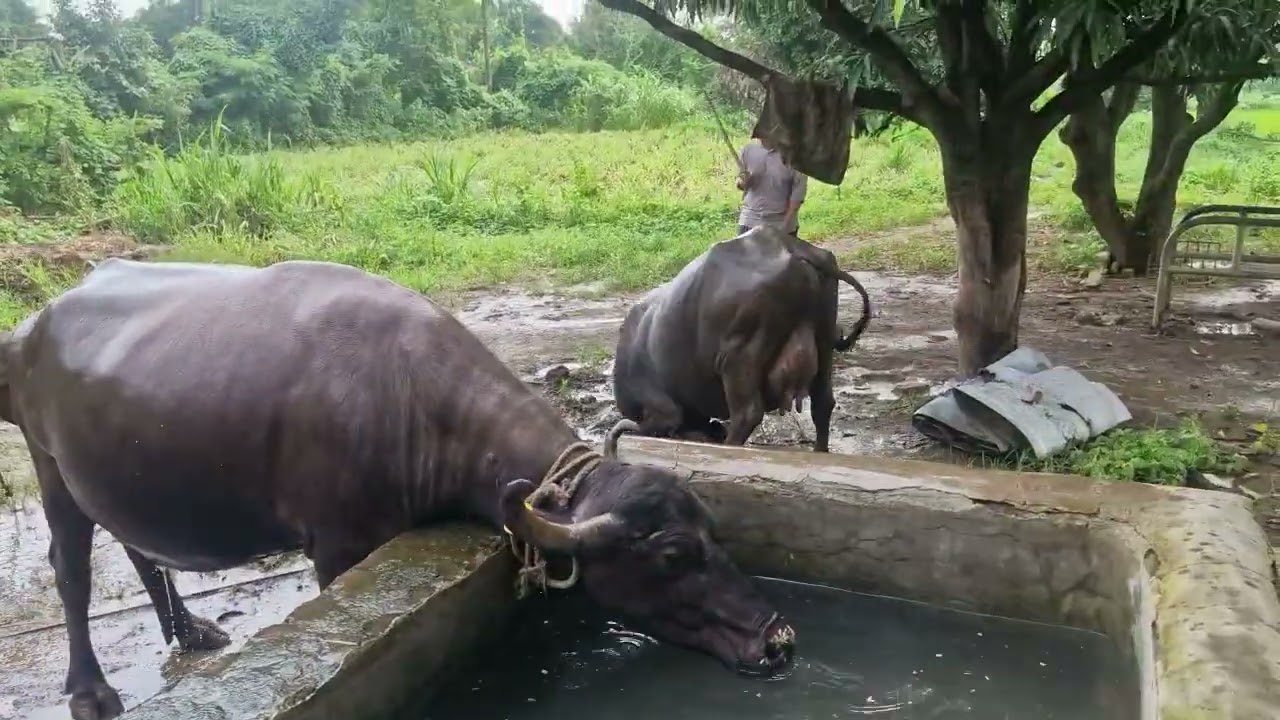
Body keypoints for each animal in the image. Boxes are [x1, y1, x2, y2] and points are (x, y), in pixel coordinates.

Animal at [0, 258, 795, 720]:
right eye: (670, 556)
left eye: (714, 534)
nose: (776, 639)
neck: (411, 399)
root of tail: (32, 327)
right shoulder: (336, 546)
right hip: (48, 464)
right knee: (71, 569)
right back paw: (90, 691)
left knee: (137, 546)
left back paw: (190, 630)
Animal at [613, 225, 871, 452]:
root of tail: (791, 249)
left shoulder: (660, 407)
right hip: (824, 339)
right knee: (823, 404)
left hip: (738, 357)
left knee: (747, 413)